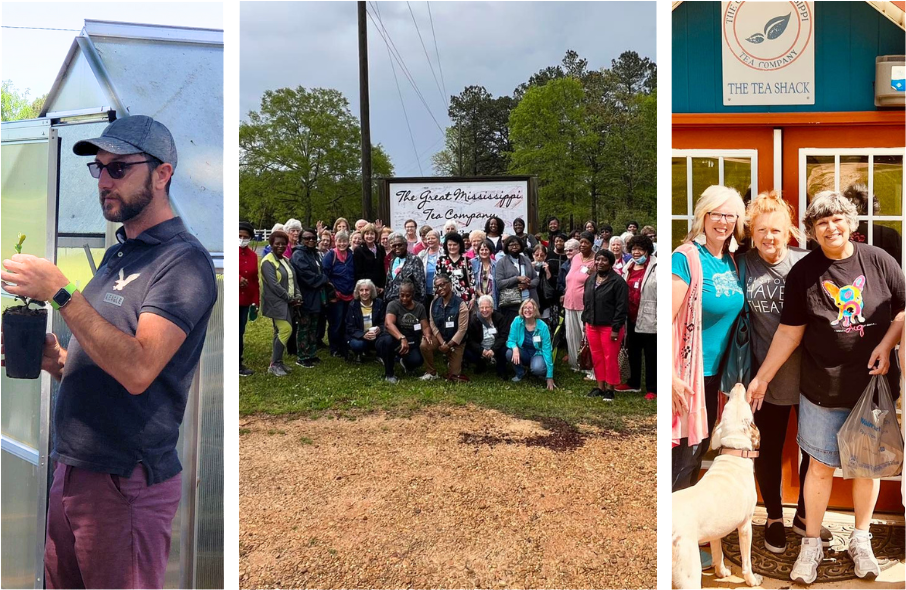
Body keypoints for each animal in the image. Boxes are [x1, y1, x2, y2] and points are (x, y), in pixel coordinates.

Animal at [672, 386, 764, 588]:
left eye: (726, 407)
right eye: (745, 405)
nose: (738, 385)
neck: (734, 451)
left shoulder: (715, 530)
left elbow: (718, 552)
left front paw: (721, 572)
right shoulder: (746, 526)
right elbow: (746, 562)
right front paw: (752, 580)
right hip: (689, 572)